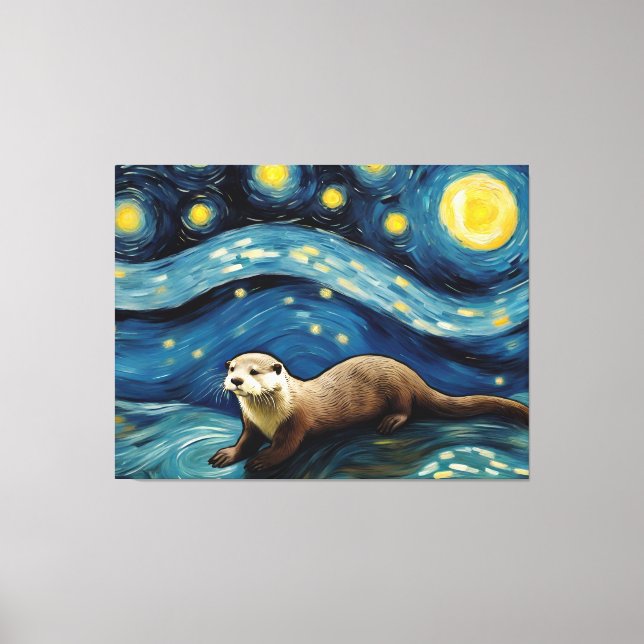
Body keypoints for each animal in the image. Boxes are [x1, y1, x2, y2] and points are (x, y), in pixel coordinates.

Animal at [208, 353, 529, 472]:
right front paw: (226, 455)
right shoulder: (250, 424)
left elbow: (285, 447)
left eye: (254, 371)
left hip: (398, 390)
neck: (267, 418)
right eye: (232, 368)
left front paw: (262, 460)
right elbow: (244, 443)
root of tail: (413, 374)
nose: (236, 381)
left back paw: (390, 421)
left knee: (407, 409)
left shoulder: (295, 421)